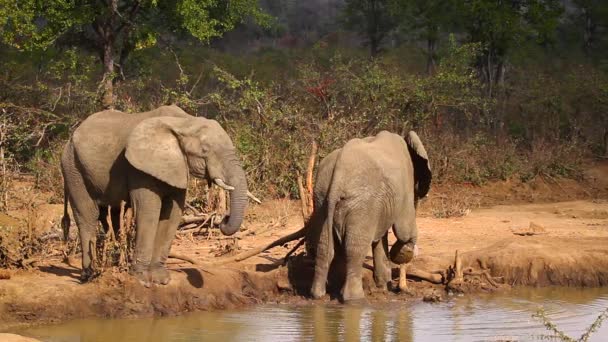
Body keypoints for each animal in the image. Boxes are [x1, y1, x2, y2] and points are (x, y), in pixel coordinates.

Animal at [61, 105, 249, 286]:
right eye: (205, 150)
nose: (223, 219)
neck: (185, 122)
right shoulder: (140, 168)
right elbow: (149, 212)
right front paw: (142, 280)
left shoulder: (177, 167)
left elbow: (172, 215)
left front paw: (161, 279)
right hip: (73, 167)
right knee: (87, 215)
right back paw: (89, 274)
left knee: (112, 214)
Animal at [306, 130, 430, 302]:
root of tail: (338, 173)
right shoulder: (405, 182)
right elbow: (404, 230)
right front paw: (399, 256)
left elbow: (381, 238)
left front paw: (383, 286)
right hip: (361, 204)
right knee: (354, 248)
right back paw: (354, 298)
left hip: (321, 199)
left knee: (325, 246)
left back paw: (318, 295)